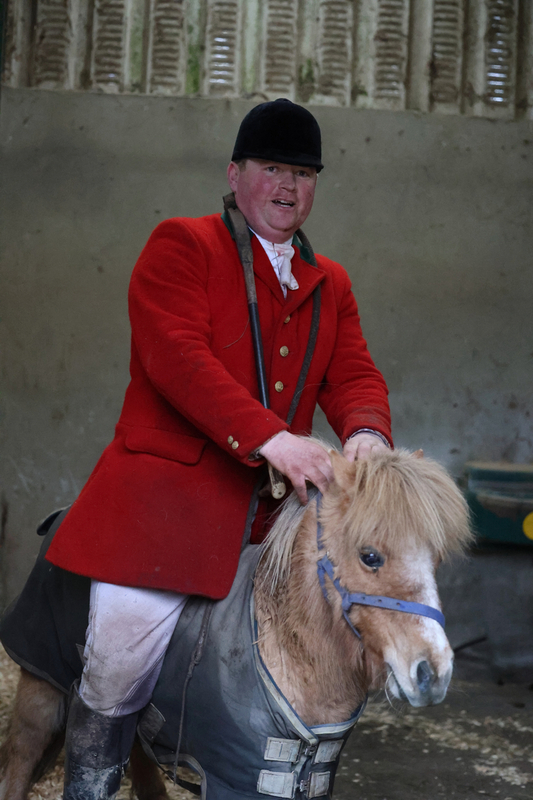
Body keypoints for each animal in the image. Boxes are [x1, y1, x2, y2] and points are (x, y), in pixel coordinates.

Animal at [0, 445, 472, 800]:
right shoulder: (236, 780)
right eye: (369, 555)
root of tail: (59, 518)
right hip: (44, 689)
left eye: (435, 559)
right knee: (25, 759)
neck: (283, 648)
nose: (434, 673)